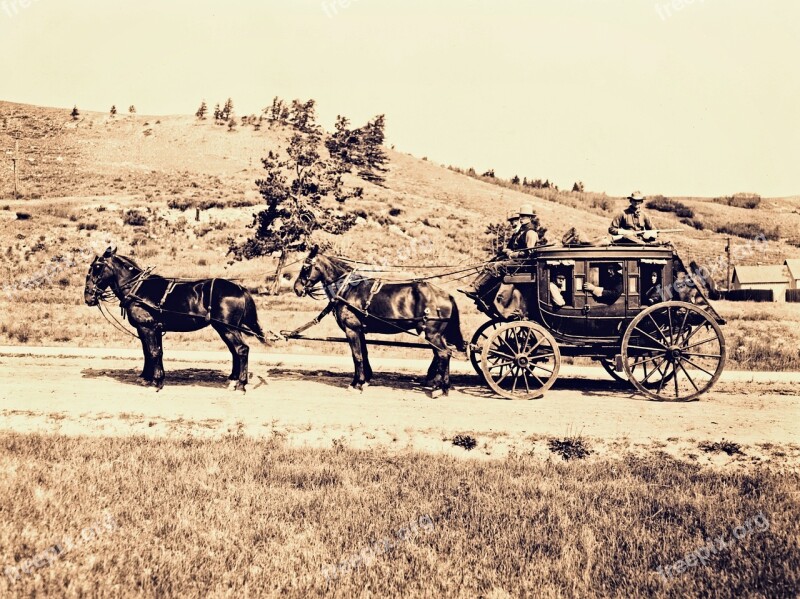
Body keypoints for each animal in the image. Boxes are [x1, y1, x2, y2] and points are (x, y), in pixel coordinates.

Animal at [84, 246, 268, 392]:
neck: (138, 288)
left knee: (241, 350)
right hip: (226, 328)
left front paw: (156, 382)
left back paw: (241, 384)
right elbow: (151, 352)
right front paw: (147, 377)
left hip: (227, 328)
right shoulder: (152, 328)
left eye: (97, 267)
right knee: (235, 351)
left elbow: (153, 352)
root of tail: (239, 287)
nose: (88, 297)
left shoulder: (147, 327)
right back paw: (233, 379)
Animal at [294, 246, 466, 396]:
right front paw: (363, 381)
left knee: (443, 354)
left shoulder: (352, 329)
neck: (348, 289)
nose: (296, 288)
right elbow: (364, 354)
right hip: (437, 335)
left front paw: (356, 384)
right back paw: (444, 387)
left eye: (305, 267)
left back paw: (438, 388)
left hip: (433, 334)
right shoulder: (360, 330)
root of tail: (446, 295)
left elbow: (357, 356)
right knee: (445, 353)